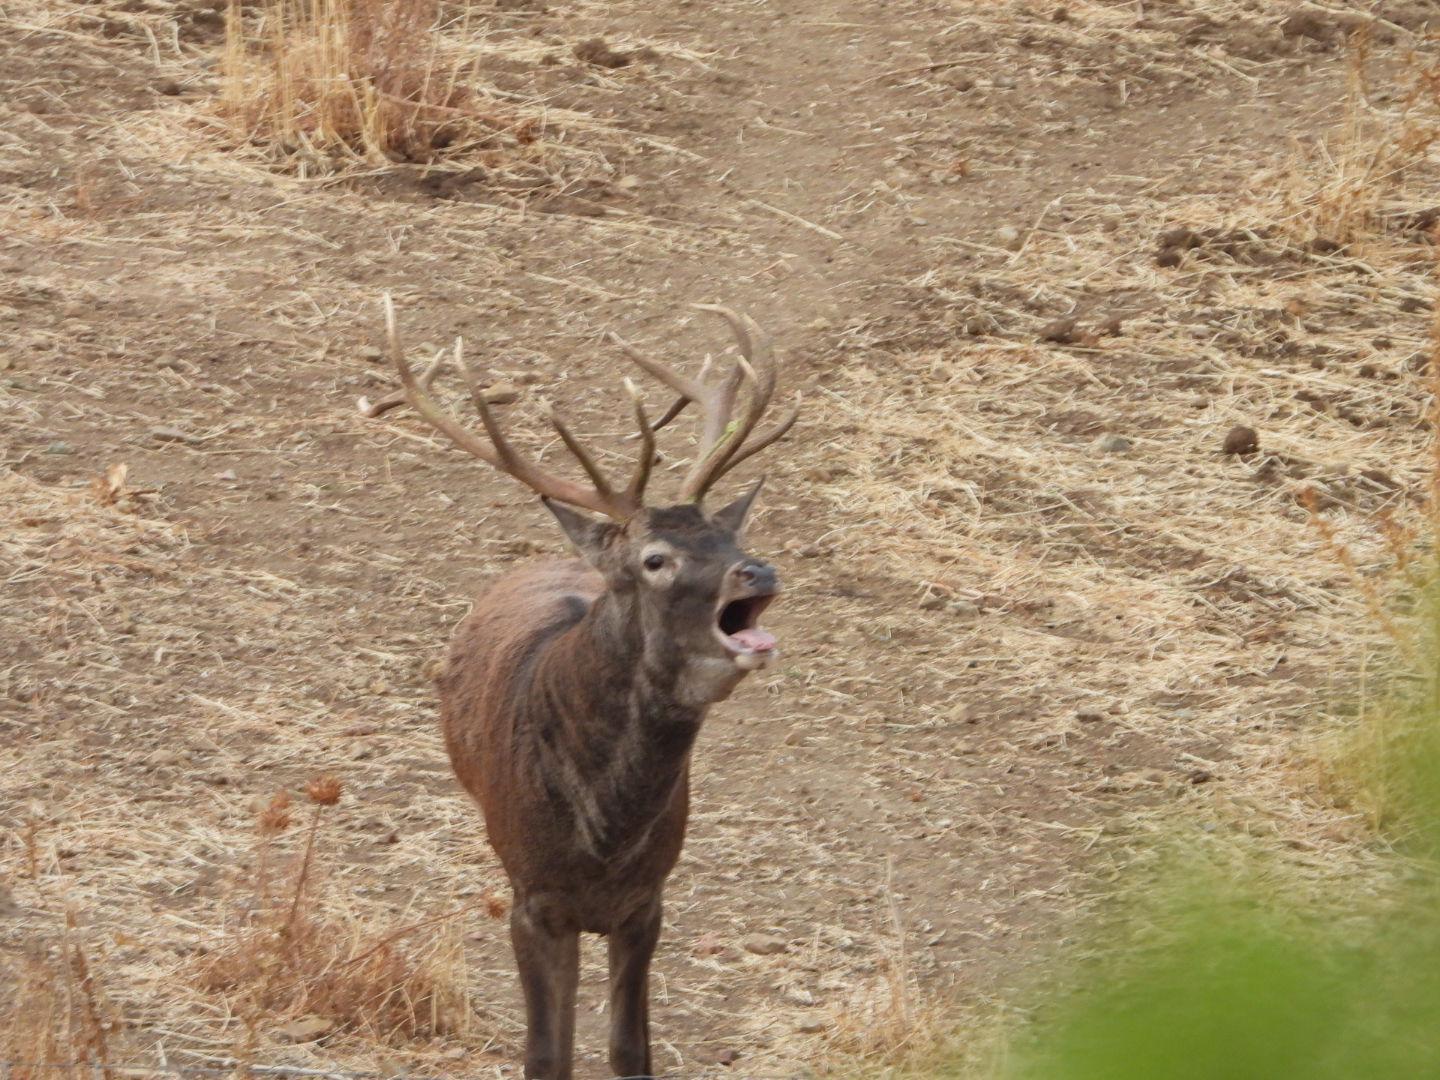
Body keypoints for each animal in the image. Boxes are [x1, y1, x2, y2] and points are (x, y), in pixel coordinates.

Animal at [361, 298, 800, 1079]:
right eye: (656, 559)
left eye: (729, 535)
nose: (757, 569)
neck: (604, 836)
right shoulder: (533, 899)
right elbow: (547, 1055)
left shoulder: (648, 900)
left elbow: (630, 1052)